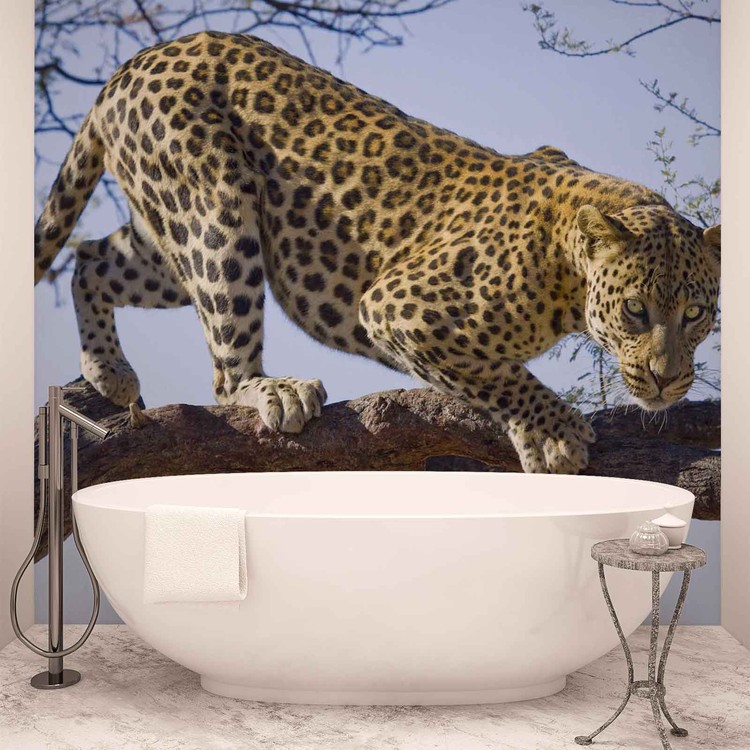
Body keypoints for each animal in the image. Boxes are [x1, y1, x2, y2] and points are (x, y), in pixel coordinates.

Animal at [34, 31, 721, 474]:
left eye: (695, 314)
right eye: (635, 310)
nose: (668, 380)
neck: (569, 273)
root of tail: (134, 63)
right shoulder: (398, 306)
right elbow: (499, 374)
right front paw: (551, 434)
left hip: (172, 236)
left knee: (89, 257)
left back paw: (108, 371)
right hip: (218, 210)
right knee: (225, 374)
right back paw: (273, 391)